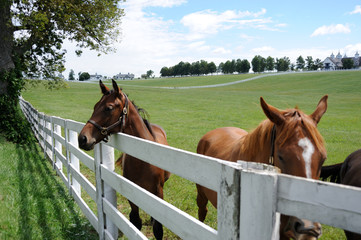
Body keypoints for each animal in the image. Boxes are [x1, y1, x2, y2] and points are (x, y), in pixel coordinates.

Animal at [77, 79, 170, 239]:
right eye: (95, 106)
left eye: (108, 108)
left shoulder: (158, 192)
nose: (82, 138)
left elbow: (158, 228)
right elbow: (135, 221)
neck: (143, 161)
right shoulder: (131, 194)